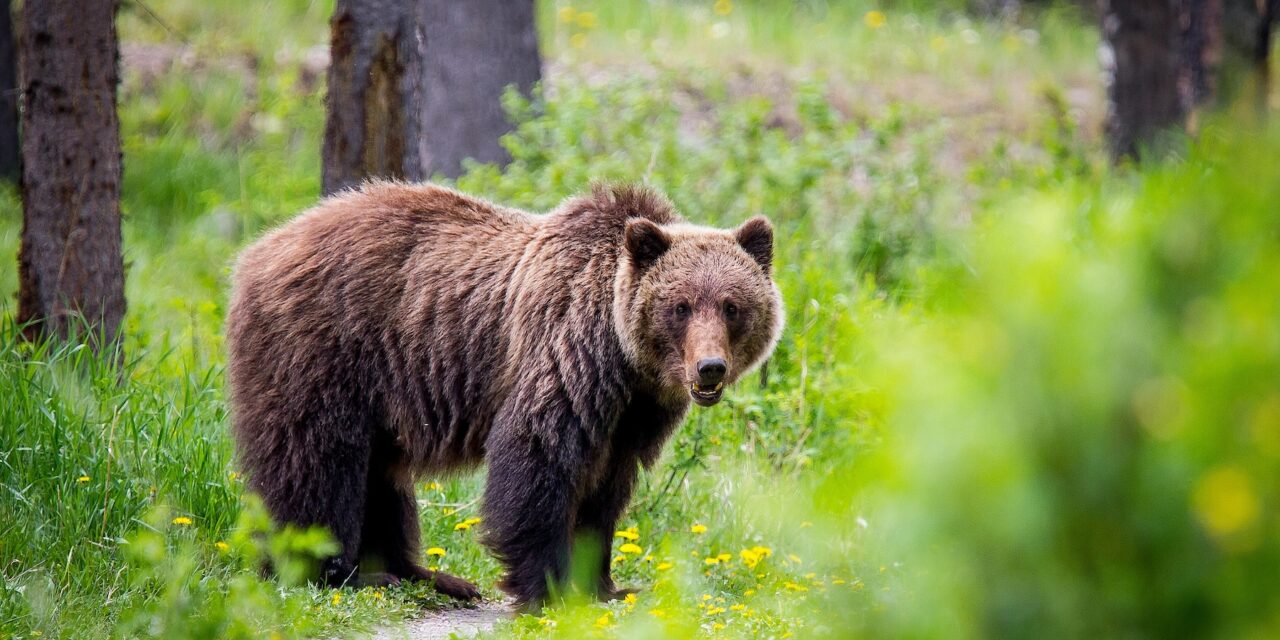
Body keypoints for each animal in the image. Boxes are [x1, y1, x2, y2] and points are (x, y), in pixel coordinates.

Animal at [225, 182, 783, 608]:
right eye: (681, 306)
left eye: (732, 305)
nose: (709, 368)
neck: (624, 359)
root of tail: (259, 249)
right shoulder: (564, 356)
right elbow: (537, 459)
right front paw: (549, 587)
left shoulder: (632, 414)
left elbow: (605, 491)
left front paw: (607, 584)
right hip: (325, 349)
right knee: (318, 459)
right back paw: (332, 570)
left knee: (382, 476)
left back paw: (428, 576)